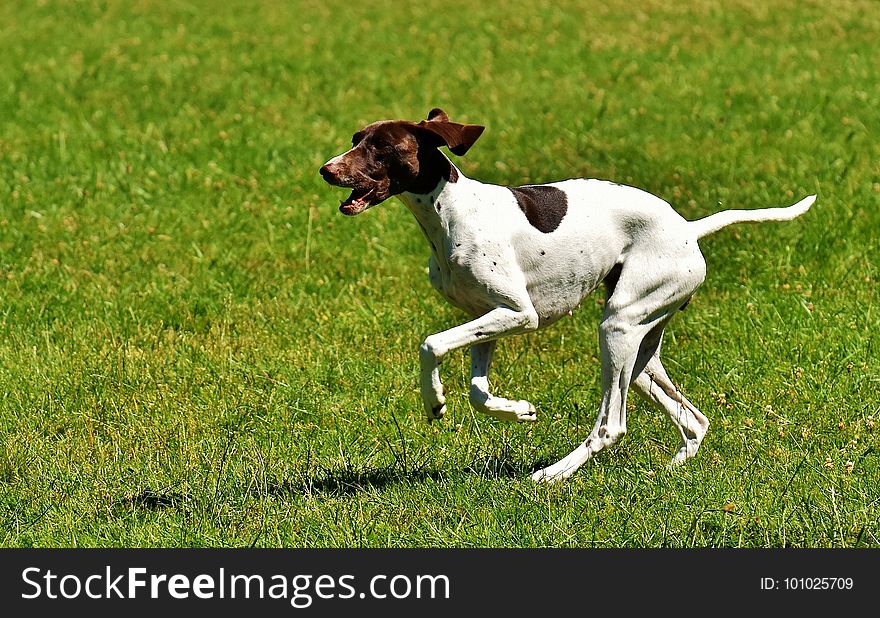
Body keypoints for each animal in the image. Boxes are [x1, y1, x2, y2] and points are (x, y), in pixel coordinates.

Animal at [320, 107, 816, 482]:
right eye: (356, 138)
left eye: (380, 146)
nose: (326, 170)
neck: (451, 213)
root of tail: (687, 229)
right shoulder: (491, 319)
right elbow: (479, 392)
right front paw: (518, 410)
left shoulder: (520, 315)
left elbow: (432, 344)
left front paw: (434, 400)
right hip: (641, 351)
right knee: (694, 420)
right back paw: (667, 471)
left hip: (617, 327)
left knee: (611, 426)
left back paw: (552, 474)